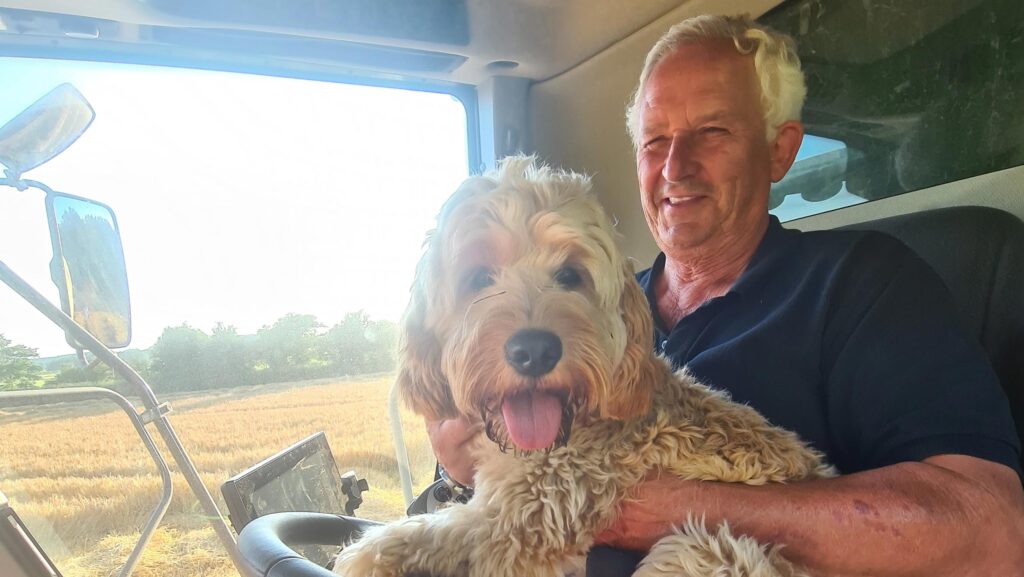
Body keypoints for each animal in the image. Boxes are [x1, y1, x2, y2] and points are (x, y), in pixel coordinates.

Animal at [333, 155, 831, 573]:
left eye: (571, 276)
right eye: (477, 278)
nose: (534, 350)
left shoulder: (522, 523)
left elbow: (443, 533)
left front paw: (367, 555)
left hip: (704, 549)